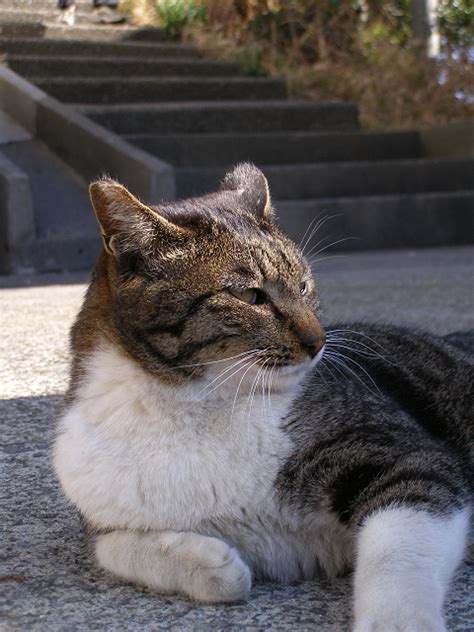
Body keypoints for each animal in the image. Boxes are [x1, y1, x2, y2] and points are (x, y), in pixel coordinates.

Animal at [53, 164, 472, 632]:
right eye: (250, 296)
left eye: (304, 287)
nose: (318, 341)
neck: (193, 402)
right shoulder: (99, 509)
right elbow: (111, 547)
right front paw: (215, 566)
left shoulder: (407, 455)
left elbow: (398, 550)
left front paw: (396, 622)